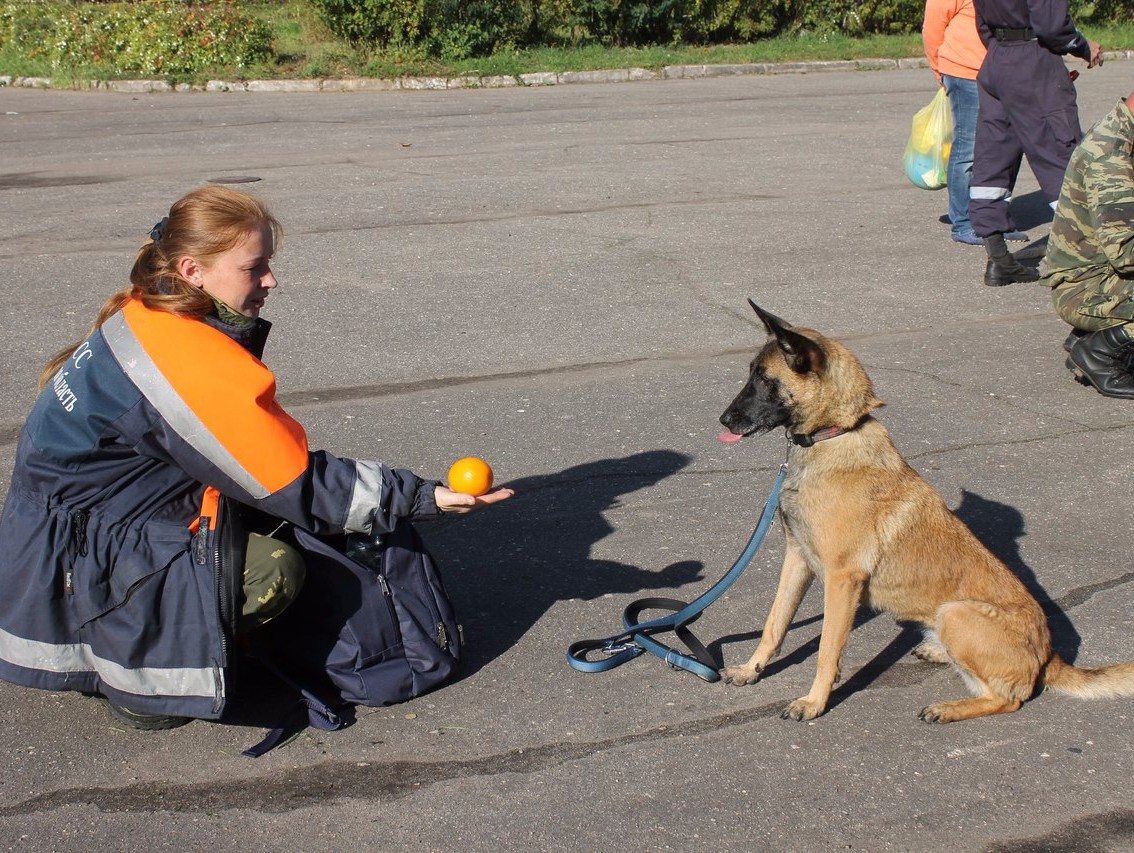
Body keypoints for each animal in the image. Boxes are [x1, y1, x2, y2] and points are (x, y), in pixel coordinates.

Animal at [716, 303, 1134, 721]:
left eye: (763, 378)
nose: (723, 421)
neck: (835, 434)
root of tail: (1050, 655)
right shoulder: (798, 558)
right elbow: (775, 623)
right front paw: (752, 670)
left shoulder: (841, 580)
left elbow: (827, 652)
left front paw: (815, 702)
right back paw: (937, 651)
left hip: (955, 613)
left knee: (1009, 698)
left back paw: (949, 708)